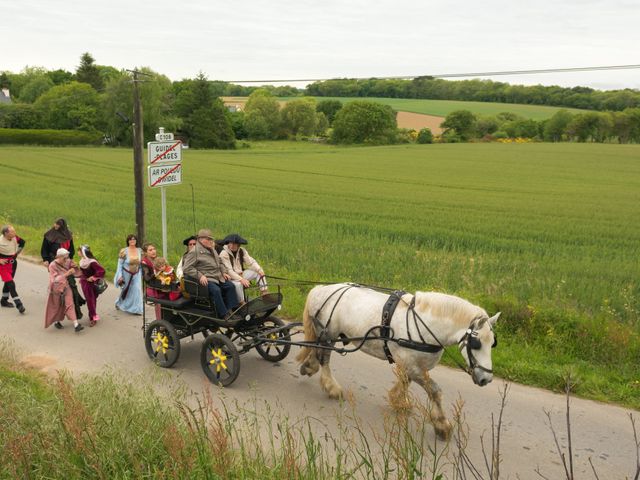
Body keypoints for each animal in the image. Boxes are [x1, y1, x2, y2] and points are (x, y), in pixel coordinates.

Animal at [296, 284, 500, 440]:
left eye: (493, 343)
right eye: (476, 343)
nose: (486, 379)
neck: (426, 325)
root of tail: (320, 289)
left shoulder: (410, 365)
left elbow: (404, 381)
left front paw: (398, 400)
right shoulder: (412, 366)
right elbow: (435, 391)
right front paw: (442, 425)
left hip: (327, 335)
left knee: (317, 351)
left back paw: (309, 366)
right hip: (328, 333)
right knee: (324, 358)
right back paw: (331, 387)